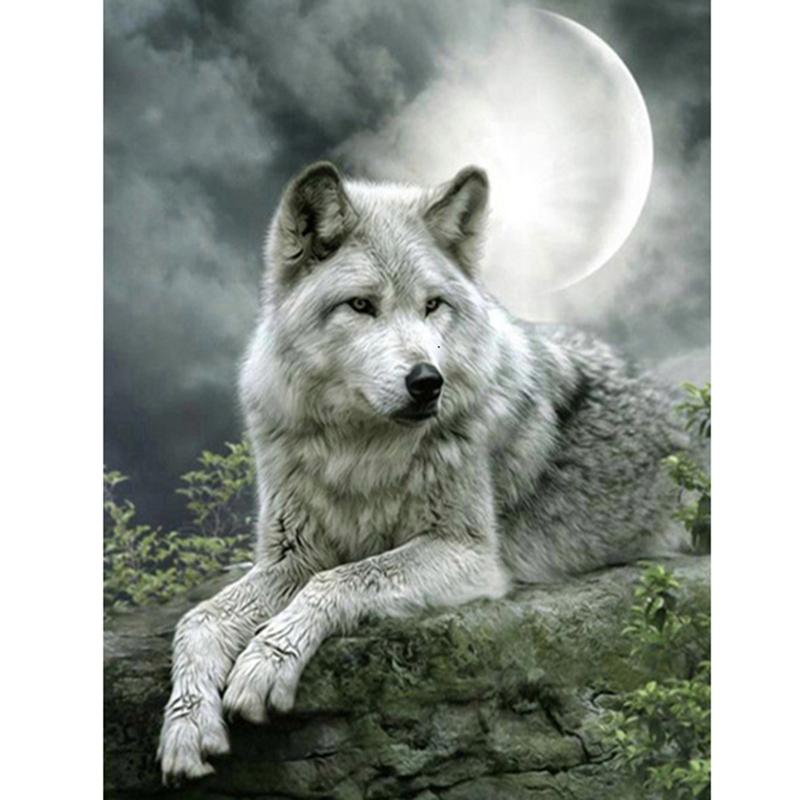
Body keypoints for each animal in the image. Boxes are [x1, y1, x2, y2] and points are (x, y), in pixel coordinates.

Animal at [157, 161, 689, 783]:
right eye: (362, 306)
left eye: (433, 305)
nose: (427, 382)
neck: (360, 451)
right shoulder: (291, 556)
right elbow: (198, 619)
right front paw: (186, 726)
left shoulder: (469, 554)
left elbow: (340, 580)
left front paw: (266, 661)